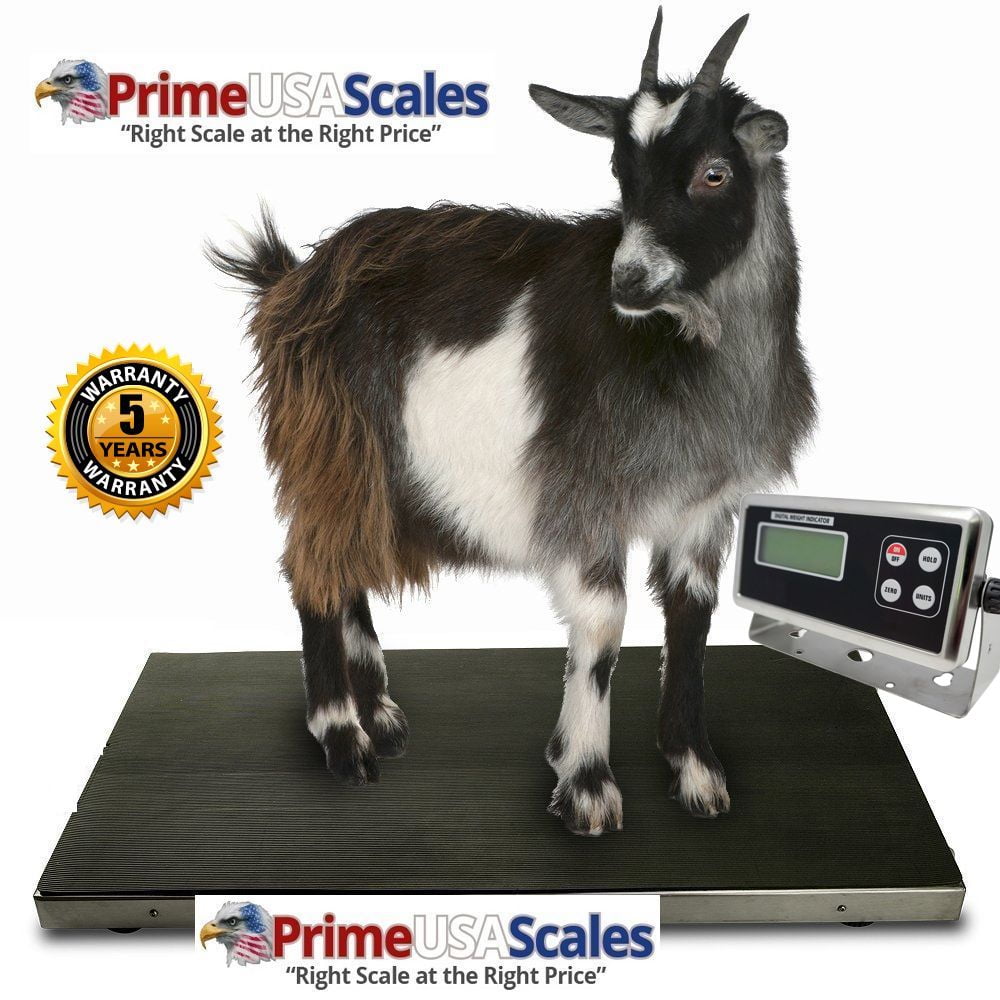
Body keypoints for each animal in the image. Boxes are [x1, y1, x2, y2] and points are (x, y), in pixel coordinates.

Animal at [208, 9, 816, 835]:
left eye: (714, 172)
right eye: (620, 171)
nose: (628, 281)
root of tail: (294, 277)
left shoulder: (705, 506)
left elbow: (691, 622)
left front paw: (696, 772)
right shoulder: (582, 496)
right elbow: (603, 625)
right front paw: (585, 784)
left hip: (369, 468)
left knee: (347, 559)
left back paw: (380, 713)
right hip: (330, 443)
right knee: (314, 570)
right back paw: (343, 739)